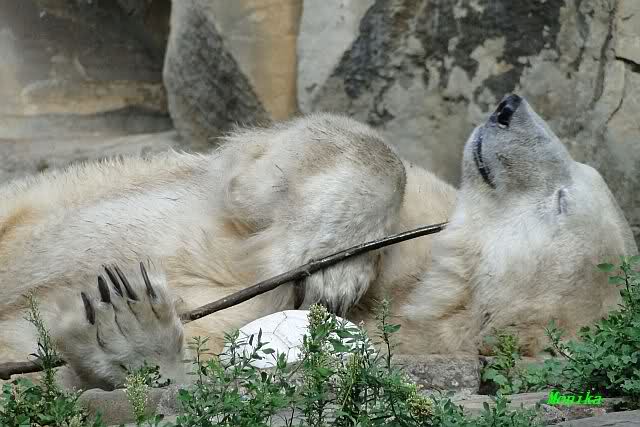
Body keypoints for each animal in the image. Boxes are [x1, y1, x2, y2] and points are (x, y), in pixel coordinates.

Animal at [0, 94, 636, 391]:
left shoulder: (393, 344)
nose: (509, 107)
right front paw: (328, 263)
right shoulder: (427, 212)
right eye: (582, 173)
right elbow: (321, 145)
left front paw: (128, 327)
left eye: (562, 199)